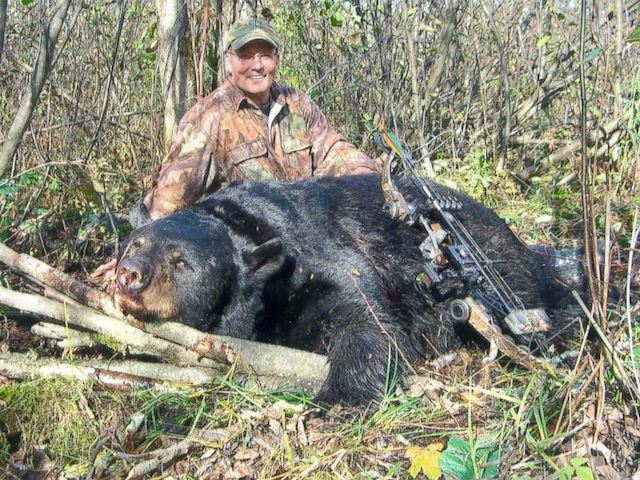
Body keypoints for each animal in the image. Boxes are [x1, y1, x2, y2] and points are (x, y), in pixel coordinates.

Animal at [114, 174, 583, 406]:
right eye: (136, 242)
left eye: (182, 262)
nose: (129, 274)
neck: (246, 226)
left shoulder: (318, 257)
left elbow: (366, 318)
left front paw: (340, 393)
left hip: (495, 255)